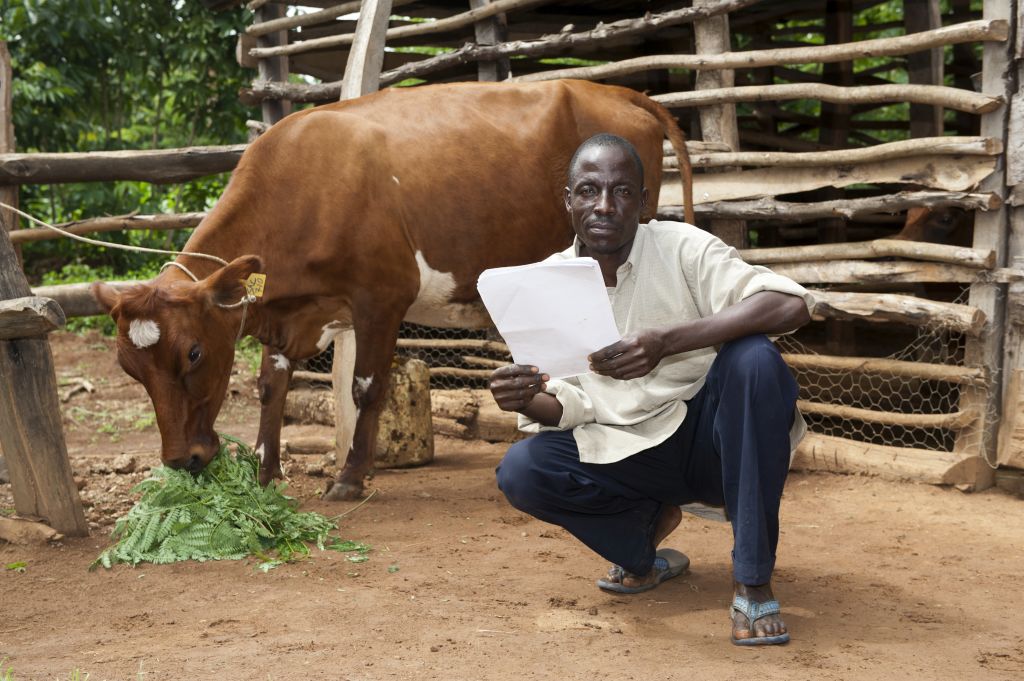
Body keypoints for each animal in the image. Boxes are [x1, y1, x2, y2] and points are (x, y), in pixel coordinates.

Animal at [91, 79, 694, 501]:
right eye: (129, 368)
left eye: (193, 353)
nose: (182, 460)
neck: (303, 186)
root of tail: (614, 90)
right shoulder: (287, 311)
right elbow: (270, 387)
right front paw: (264, 472)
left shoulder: (381, 296)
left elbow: (365, 388)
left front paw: (350, 477)